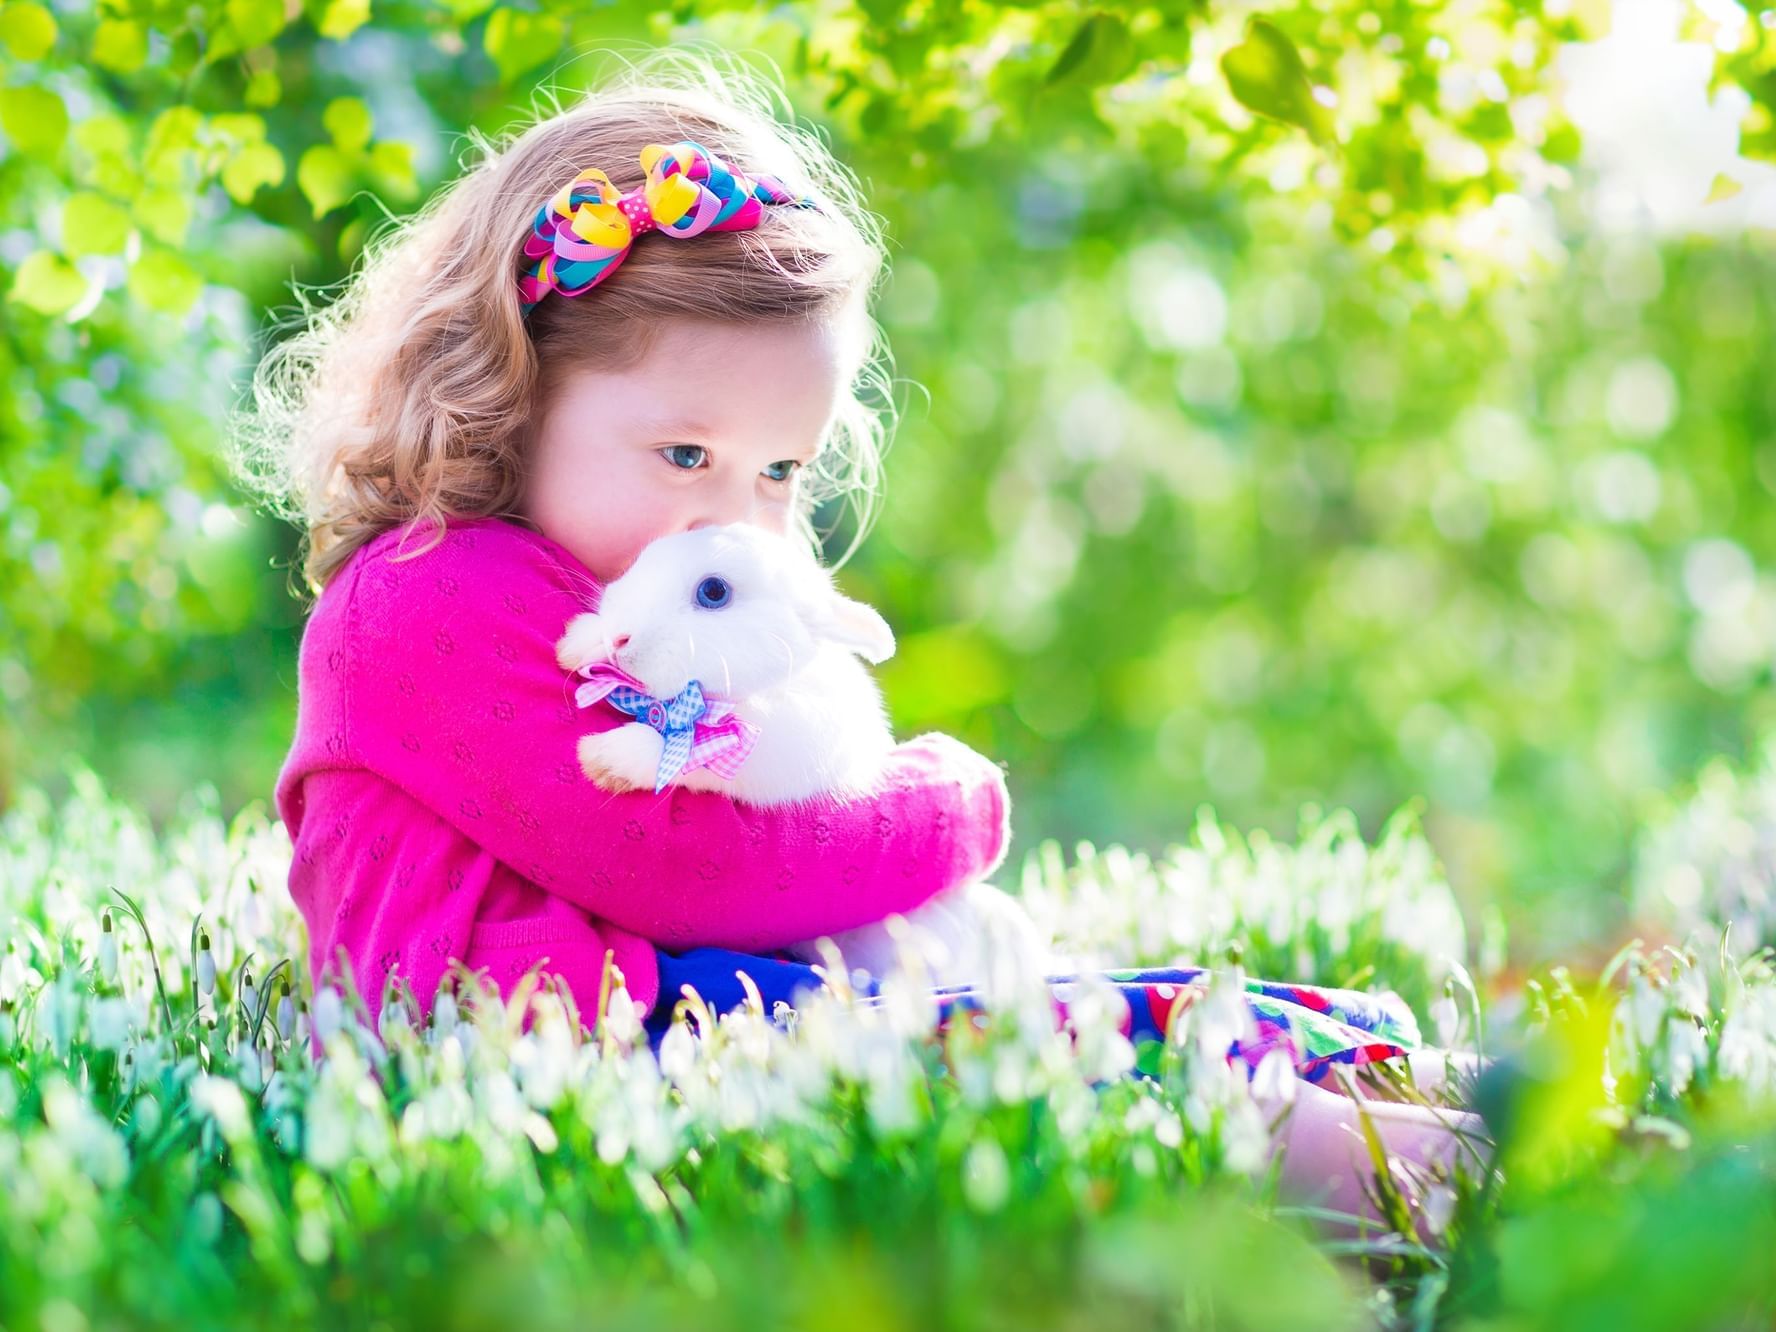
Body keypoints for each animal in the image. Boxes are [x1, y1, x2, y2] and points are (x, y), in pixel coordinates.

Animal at [554, 522, 1044, 994]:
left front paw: (604, 757)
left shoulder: (777, 747)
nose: (620, 637)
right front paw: (579, 641)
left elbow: (697, 748)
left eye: (713, 591)